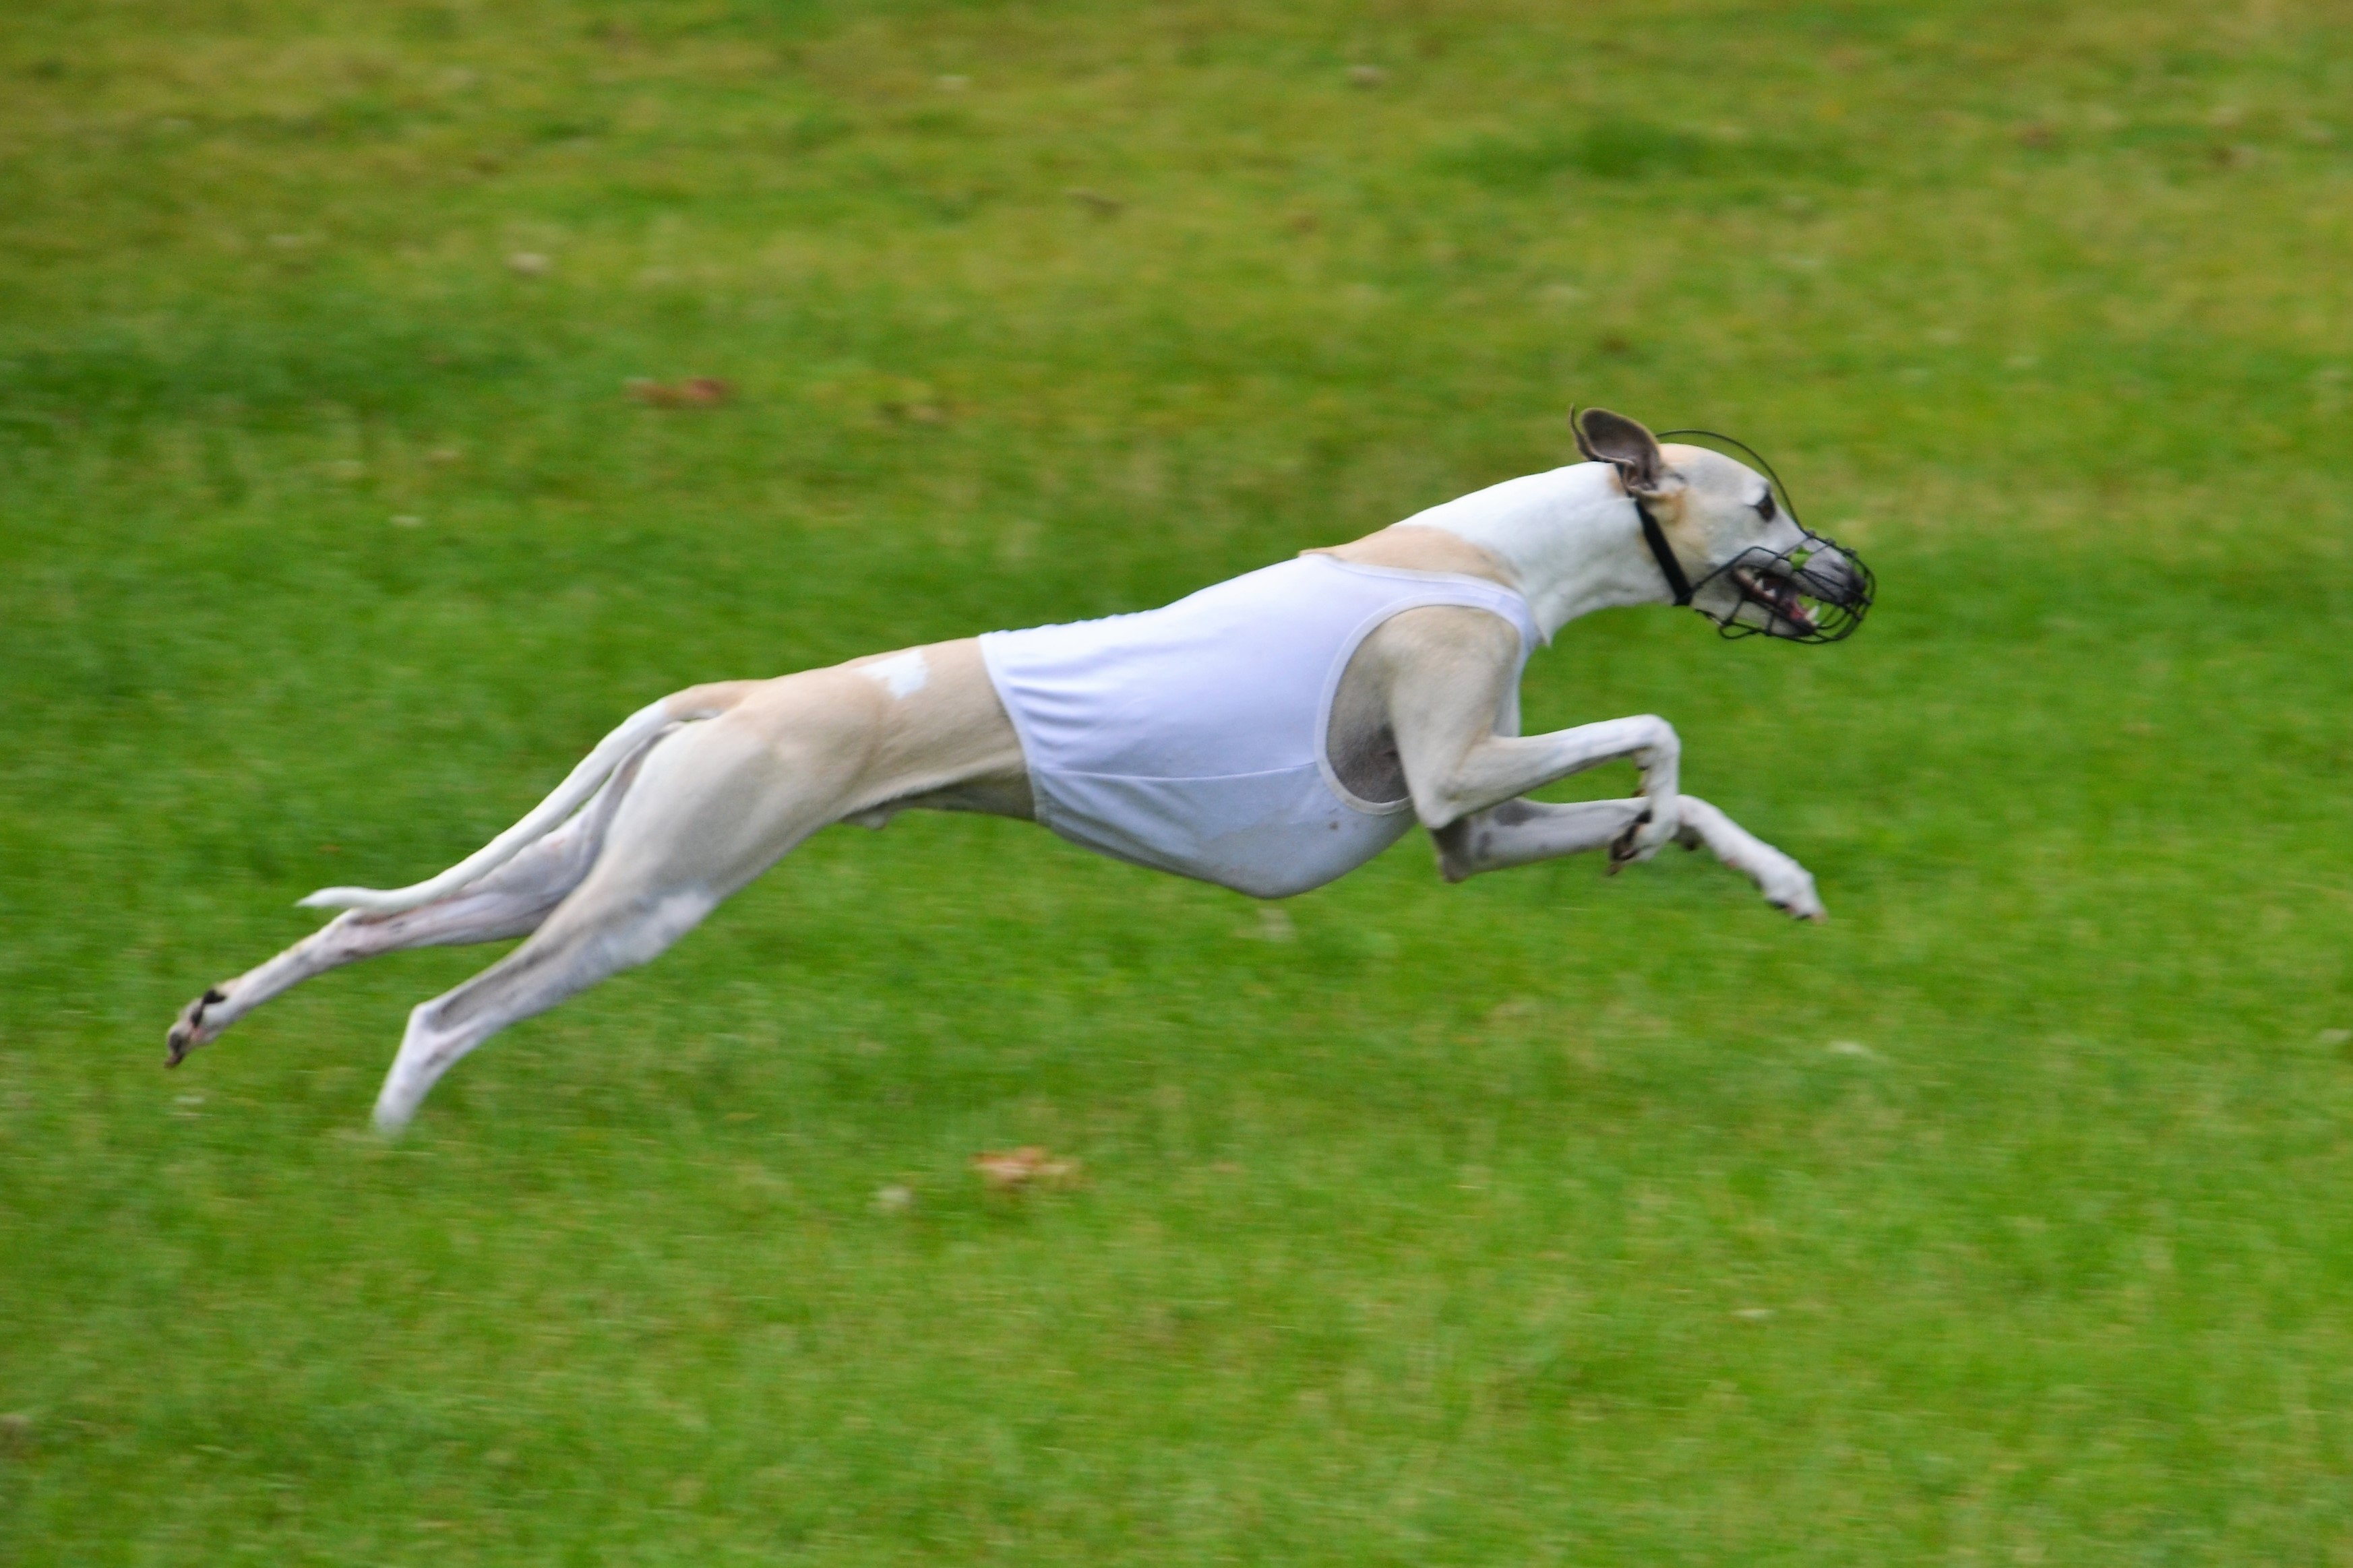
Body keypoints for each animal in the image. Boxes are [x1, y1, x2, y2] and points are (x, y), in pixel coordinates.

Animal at [166, 411, 1872, 1133]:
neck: (1494, 554)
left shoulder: (1474, 827)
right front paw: (1651, 819)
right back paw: (394, 1129)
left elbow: (1670, 800)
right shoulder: (1455, 763)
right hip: (653, 893)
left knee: (370, 926)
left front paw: (1759, 873)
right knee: (444, 1007)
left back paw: (211, 1015)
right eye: (1765, 505)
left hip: (588, 865)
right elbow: (1655, 736)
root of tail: (733, 695)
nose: (1852, 575)